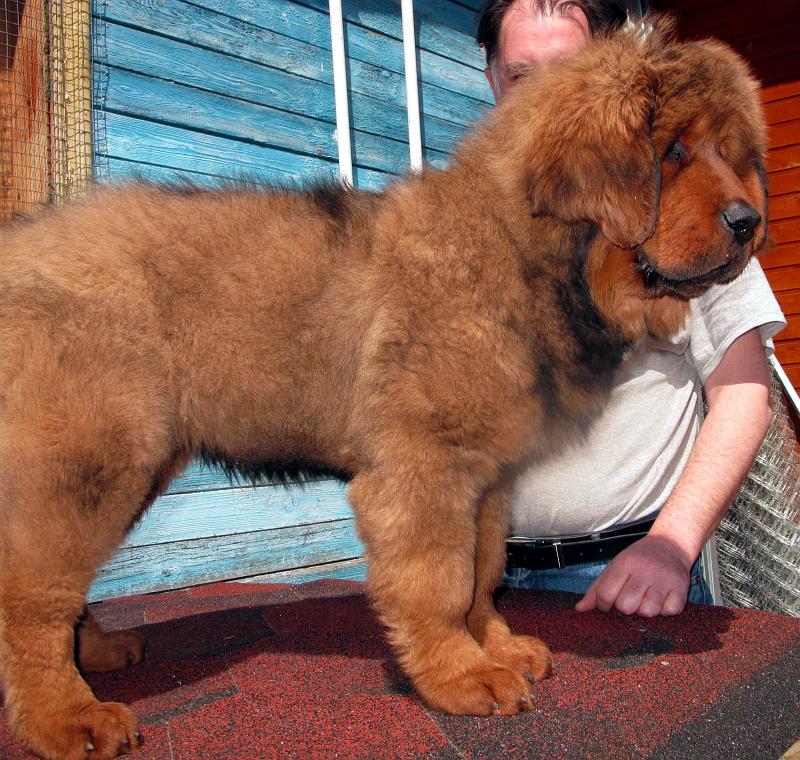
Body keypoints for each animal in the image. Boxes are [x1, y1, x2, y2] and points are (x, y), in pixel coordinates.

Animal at [0, 17, 768, 759]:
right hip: (89, 459)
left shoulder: (486, 476)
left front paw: (497, 646)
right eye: (674, 152)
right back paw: (65, 716)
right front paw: (461, 675)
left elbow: (483, 570)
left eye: (730, 155)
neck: (520, 250)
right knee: (32, 593)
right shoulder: (424, 465)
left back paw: (96, 652)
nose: (750, 223)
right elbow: (440, 580)